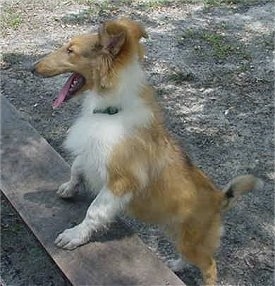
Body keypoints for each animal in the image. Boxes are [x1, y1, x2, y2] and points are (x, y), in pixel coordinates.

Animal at [33, 18, 264, 286]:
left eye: (71, 50)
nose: (32, 68)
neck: (111, 109)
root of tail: (220, 198)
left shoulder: (121, 182)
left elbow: (94, 211)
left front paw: (74, 236)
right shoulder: (92, 152)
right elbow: (77, 167)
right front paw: (69, 188)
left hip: (193, 242)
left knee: (209, 266)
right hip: (177, 234)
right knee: (187, 258)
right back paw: (174, 265)